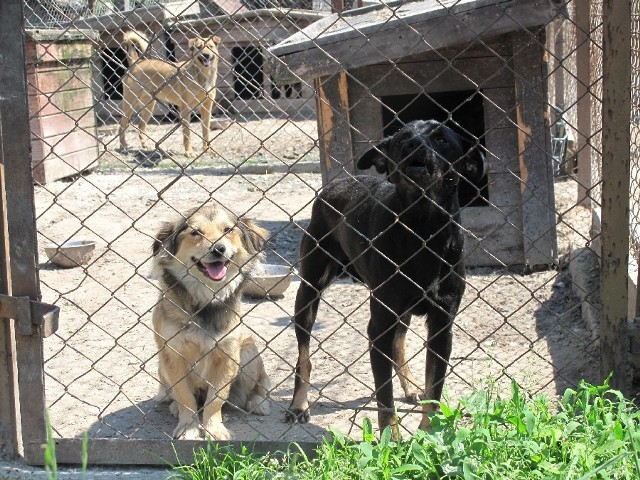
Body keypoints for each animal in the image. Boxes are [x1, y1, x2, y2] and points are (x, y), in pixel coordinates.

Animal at [119, 30, 221, 158]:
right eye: (198, 47)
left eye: (210, 47)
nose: (206, 55)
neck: (203, 74)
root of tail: (136, 63)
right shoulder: (185, 109)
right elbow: (187, 133)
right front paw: (189, 152)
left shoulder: (207, 108)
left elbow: (206, 131)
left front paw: (207, 150)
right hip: (130, 104)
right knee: (122, 125)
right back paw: (123, 147)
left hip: (149, 106)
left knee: (141, 125)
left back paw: (145, 145)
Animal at [152, 205, 270, 438]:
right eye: (196, 232)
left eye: (228, 230)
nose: (219, 249)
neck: (206, 298)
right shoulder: (172, 354)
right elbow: (184, 395)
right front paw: (188, 427)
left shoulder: (227, 355)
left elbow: (215, 399)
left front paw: (214, 429)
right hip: (161, 366)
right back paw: (173, 405)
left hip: (250, 355)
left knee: (260, 387)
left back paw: (258, 403)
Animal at [284, 119, 484, 436]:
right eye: (402, 137)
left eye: (441, 139)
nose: (413, 144)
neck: (422, 230)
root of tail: (336, 184)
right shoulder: (378, 326)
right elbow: (384, 398)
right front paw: (393, 438)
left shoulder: (442, 326)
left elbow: (434, 391)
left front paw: (429, 436)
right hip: (308, 293)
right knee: (304, 358)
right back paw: (299, 405)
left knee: (399, 343)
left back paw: (411, 386)